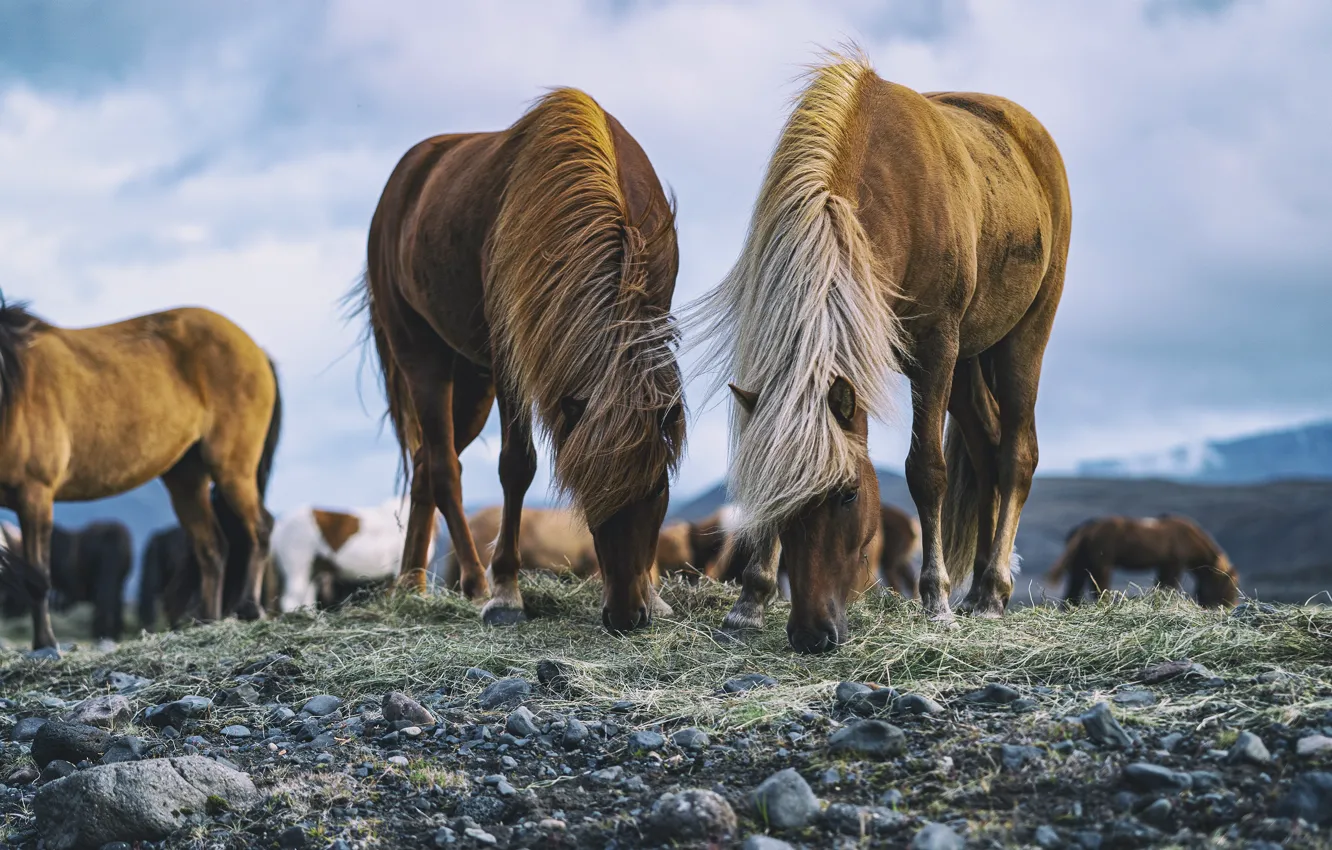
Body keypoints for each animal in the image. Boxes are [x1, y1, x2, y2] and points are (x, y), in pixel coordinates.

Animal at [0, 302, 282, 648]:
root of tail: (257, 350)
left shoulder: (35, 493)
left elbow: (38, 577)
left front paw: (45, 645)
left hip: (233, 468)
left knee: (260, 528)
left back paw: (250, 608)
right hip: (186, 478)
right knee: (212, 548)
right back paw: (208, 620)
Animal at [356, 87, 685, 633]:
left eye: (658, 489)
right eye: (582, 489)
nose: (625, 614)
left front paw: (656, 594)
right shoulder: (511, 358)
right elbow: (517, 466)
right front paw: (507, 592)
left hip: (471, 381)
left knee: (427, 462)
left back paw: (412, 585)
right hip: (422, 355)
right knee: (443, 466)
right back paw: (474, 583)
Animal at [686, 47, 1071, 652]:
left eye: (848, 495)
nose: (811, 634)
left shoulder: (935, 349)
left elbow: (927, 470)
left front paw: (936, 601)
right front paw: (751, 600)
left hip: (1021, 340)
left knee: (1016, 454)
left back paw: (989, 591)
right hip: (970, 362)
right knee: (986, 450)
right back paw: (981, 585)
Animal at [1046, 514, 1240, 608]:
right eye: (1229, 584)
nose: (1232, 605)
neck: (1188, 538)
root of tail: (1084, 529)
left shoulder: (1164, 565)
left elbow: (1161, 585)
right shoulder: (1174, 564)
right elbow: (1168, 586)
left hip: (1080, 566)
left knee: (1072, 592)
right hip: (1101, 565)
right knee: (1099, 590)